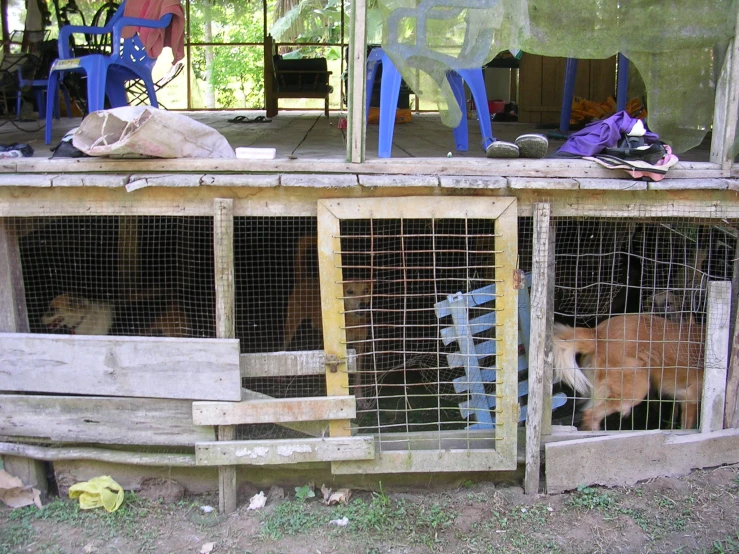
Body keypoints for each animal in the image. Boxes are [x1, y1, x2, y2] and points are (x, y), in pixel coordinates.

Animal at [284, 235, 376, 408]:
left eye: (366, 290)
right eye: (350, 292)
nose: (363, 305)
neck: (352, 322)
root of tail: (304, 279)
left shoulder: (360, 345)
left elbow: (358, 374)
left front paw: (360, 397)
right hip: (291, 324)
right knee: (283, 345)